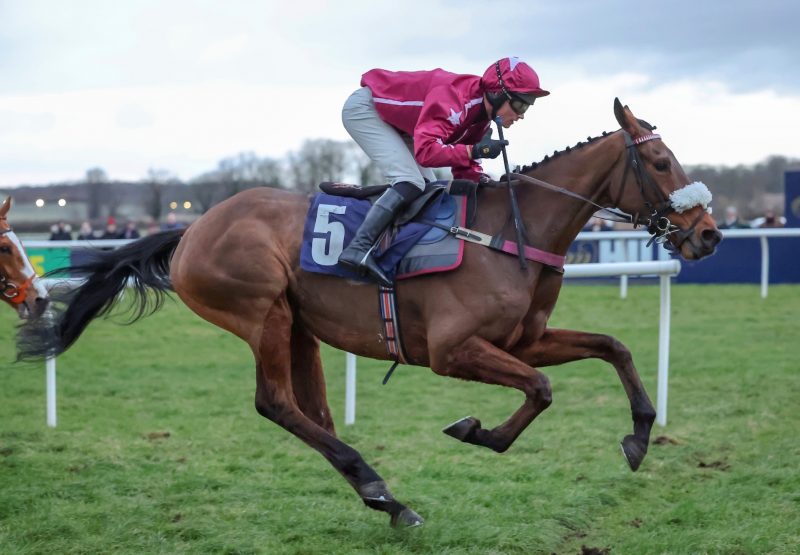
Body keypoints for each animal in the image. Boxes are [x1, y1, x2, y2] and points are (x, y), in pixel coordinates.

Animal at [15, 100, 720, 524]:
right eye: (661, 161)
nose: (709, 235)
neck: (506, 233)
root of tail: (191, 230)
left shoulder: (523, 339)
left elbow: (612, 346)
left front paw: (639, 436)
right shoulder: (453, 352)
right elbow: (541, 390)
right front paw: (476, 430)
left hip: (298, 324)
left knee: (311, 411)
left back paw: (381, 495)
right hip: (262, 312)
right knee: (276, 403)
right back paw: (378, 486)